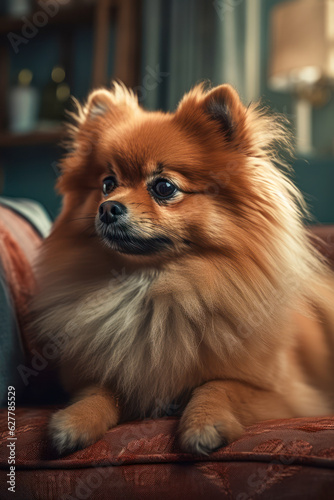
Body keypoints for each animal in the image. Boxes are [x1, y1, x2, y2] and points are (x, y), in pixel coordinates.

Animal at [32, 83, 334, 458]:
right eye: (107, 184)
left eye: (164, 187)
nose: (108, 208)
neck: (153, 288)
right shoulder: (110, 374)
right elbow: (99, 391)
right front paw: (74, 420)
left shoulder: (284, 393)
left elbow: (219, 386)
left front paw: (204, 423)